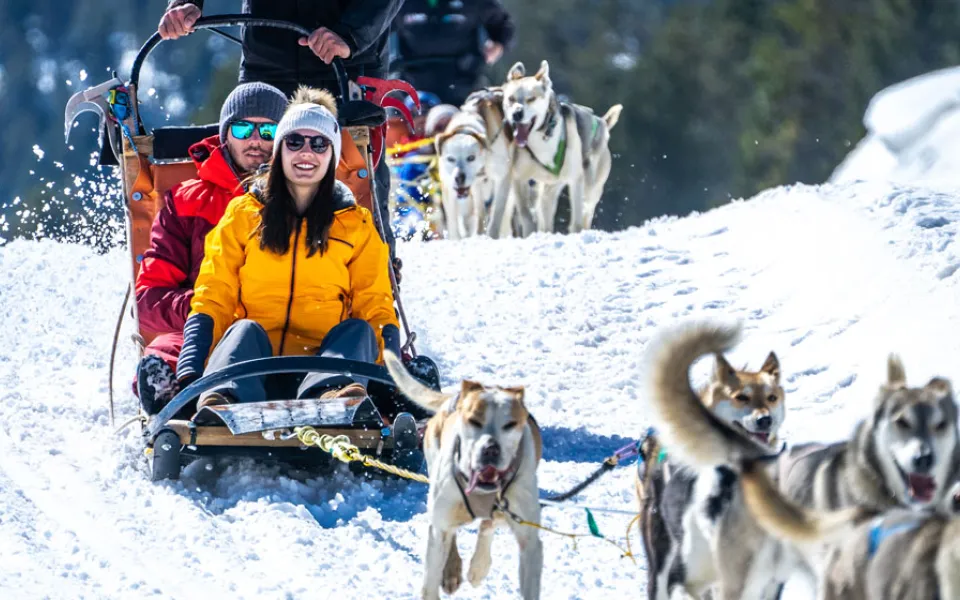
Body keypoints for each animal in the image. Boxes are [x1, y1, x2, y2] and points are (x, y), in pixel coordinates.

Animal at [384, 352, 548, 600]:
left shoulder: (529, 541)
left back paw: (478, 567)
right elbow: (430, 581)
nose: (491, 449)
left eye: (510, 424)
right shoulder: (439, 526)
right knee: (453, 534)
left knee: (488, 524)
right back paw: (452, 572)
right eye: (474, 420)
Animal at [498, 60, 628, 237]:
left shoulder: (576, 179)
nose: (517, 114)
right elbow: (526, 214)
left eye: (531, 98)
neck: (543, 139)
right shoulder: (519, 178)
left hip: (590, 187)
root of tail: (602, 122)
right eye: (511, 99)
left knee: (586, 211)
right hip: (547, 190)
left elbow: (577, 220)